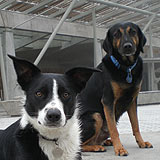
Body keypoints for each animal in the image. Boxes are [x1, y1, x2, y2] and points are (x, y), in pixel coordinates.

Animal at [78, 21, 152, 156]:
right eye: (116, 34)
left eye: (133, 32)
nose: (128, 46)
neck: (126, 67)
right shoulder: (108, 100)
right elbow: (114, 129)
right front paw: (120, 149)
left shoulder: (132, 100)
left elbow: (136, 125)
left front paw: (141, 143)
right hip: (96, 116)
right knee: (80, 144)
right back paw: (96, 147)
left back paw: (106, 142)